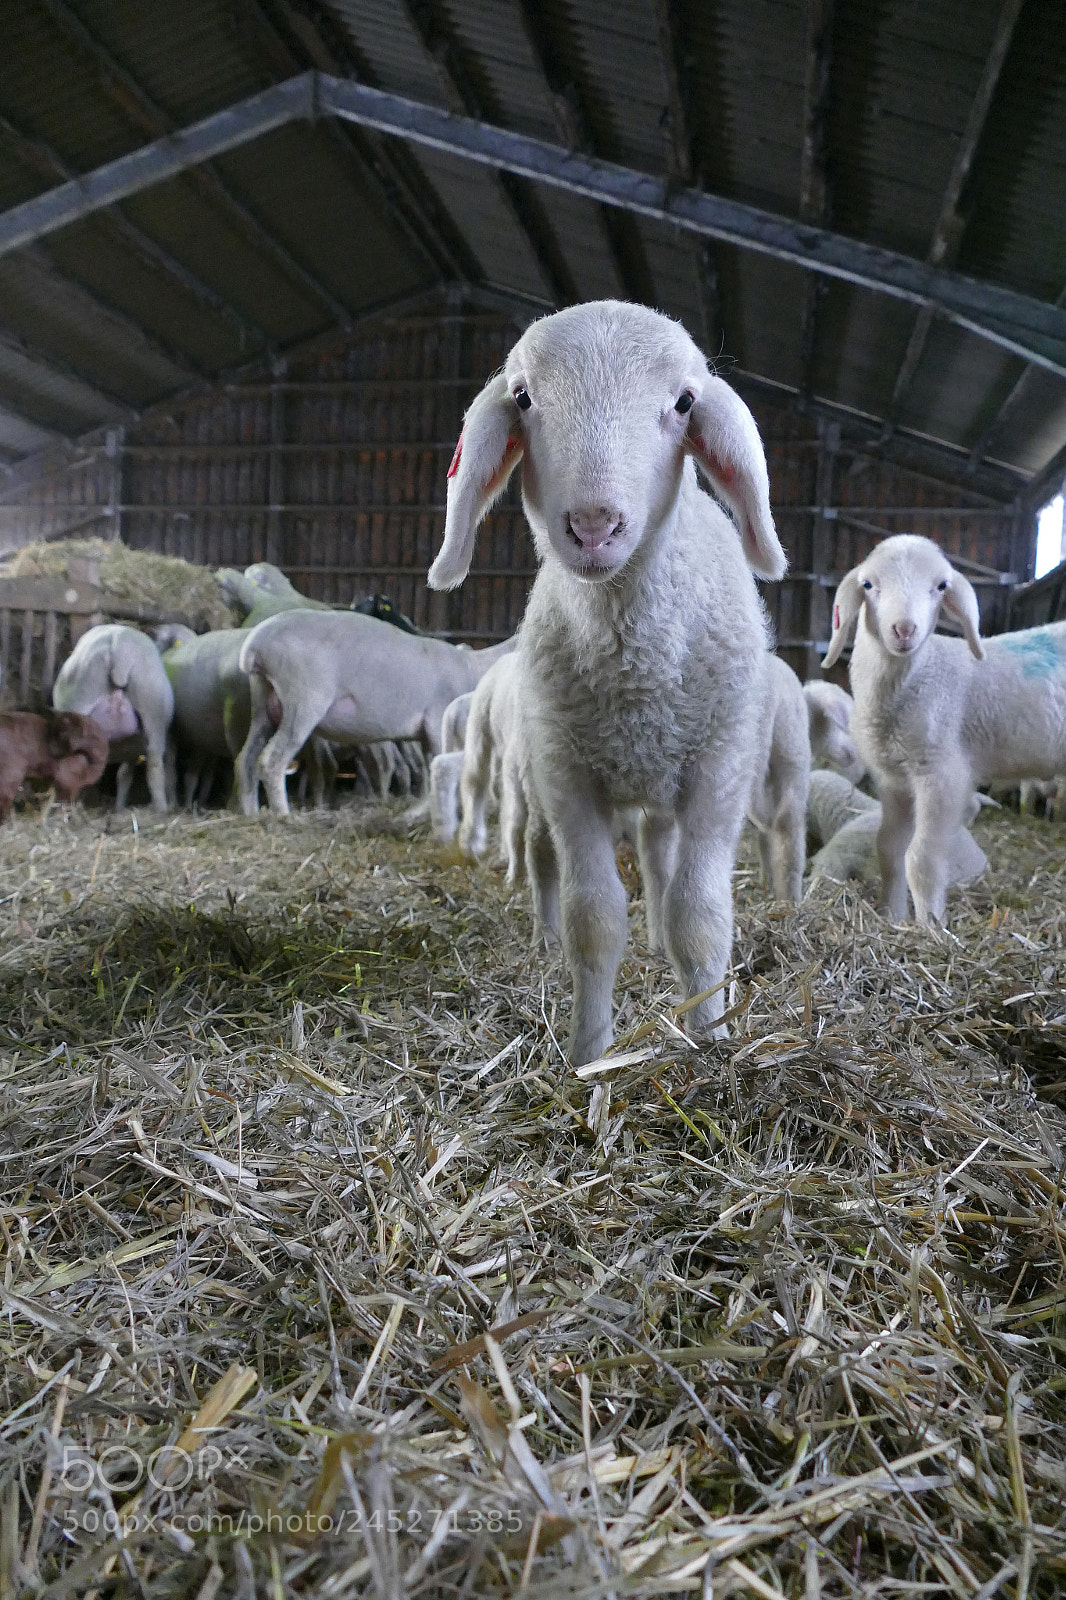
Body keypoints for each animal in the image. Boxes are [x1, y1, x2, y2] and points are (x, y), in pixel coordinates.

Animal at [52, 624, 175, 812]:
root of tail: (120, 644)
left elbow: (123, 774)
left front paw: (119, 808)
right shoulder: (132, 745)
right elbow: (124, 774)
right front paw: (119, 808)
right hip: (153, 714)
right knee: (155, 765)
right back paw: (161, 810)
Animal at [235, 610, 515, 817]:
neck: (475, 668)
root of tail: (254, 647)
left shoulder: (426, 735)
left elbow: (429, 770)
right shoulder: (437, 723)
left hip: (264, 702)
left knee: (245, 759)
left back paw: (252, 813)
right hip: (303, 698)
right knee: (271, 761)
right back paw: (284, 816)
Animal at [427, 299, 786, 1065]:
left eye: (684, 403)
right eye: (523, 397)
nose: (594, 525)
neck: (634, 671)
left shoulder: (720, 770)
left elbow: (699, 913)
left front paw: (712, 1036)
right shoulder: (568, 777)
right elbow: (592, 920)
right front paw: (591, 1053)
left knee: (658, 860)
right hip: (533, 776)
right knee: (540, 857)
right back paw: (545, 936)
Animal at [822, 532, 1066, 923]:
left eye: (940, 586)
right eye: (868, 584)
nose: (904, 629)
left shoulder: (942, 774)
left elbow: (921, 859)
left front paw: (930, 927)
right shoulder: (894, 780)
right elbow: (888, 849)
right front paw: (894, 918)